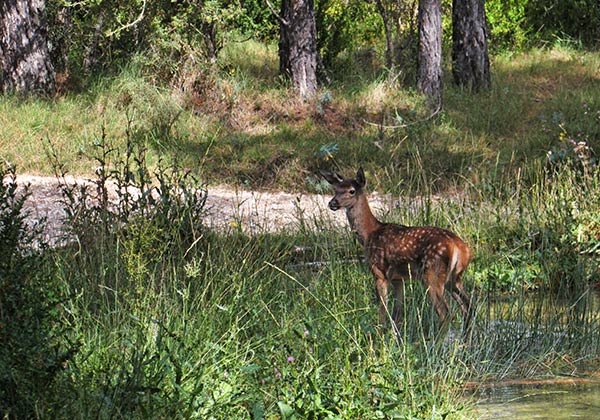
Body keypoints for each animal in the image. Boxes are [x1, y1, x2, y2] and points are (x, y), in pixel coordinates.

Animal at [322, 167, 472, 338]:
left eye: (351, 191)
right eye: (335, 189)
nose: (332, 203)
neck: (369, 234)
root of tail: (460, 248)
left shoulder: (379, 272)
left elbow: (383, 311)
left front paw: (379, 336)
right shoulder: (398, 279)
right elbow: (397, 314)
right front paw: (395, 337)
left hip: (432, 274)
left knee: (446, 313)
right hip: (454, 278)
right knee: (467, 305)